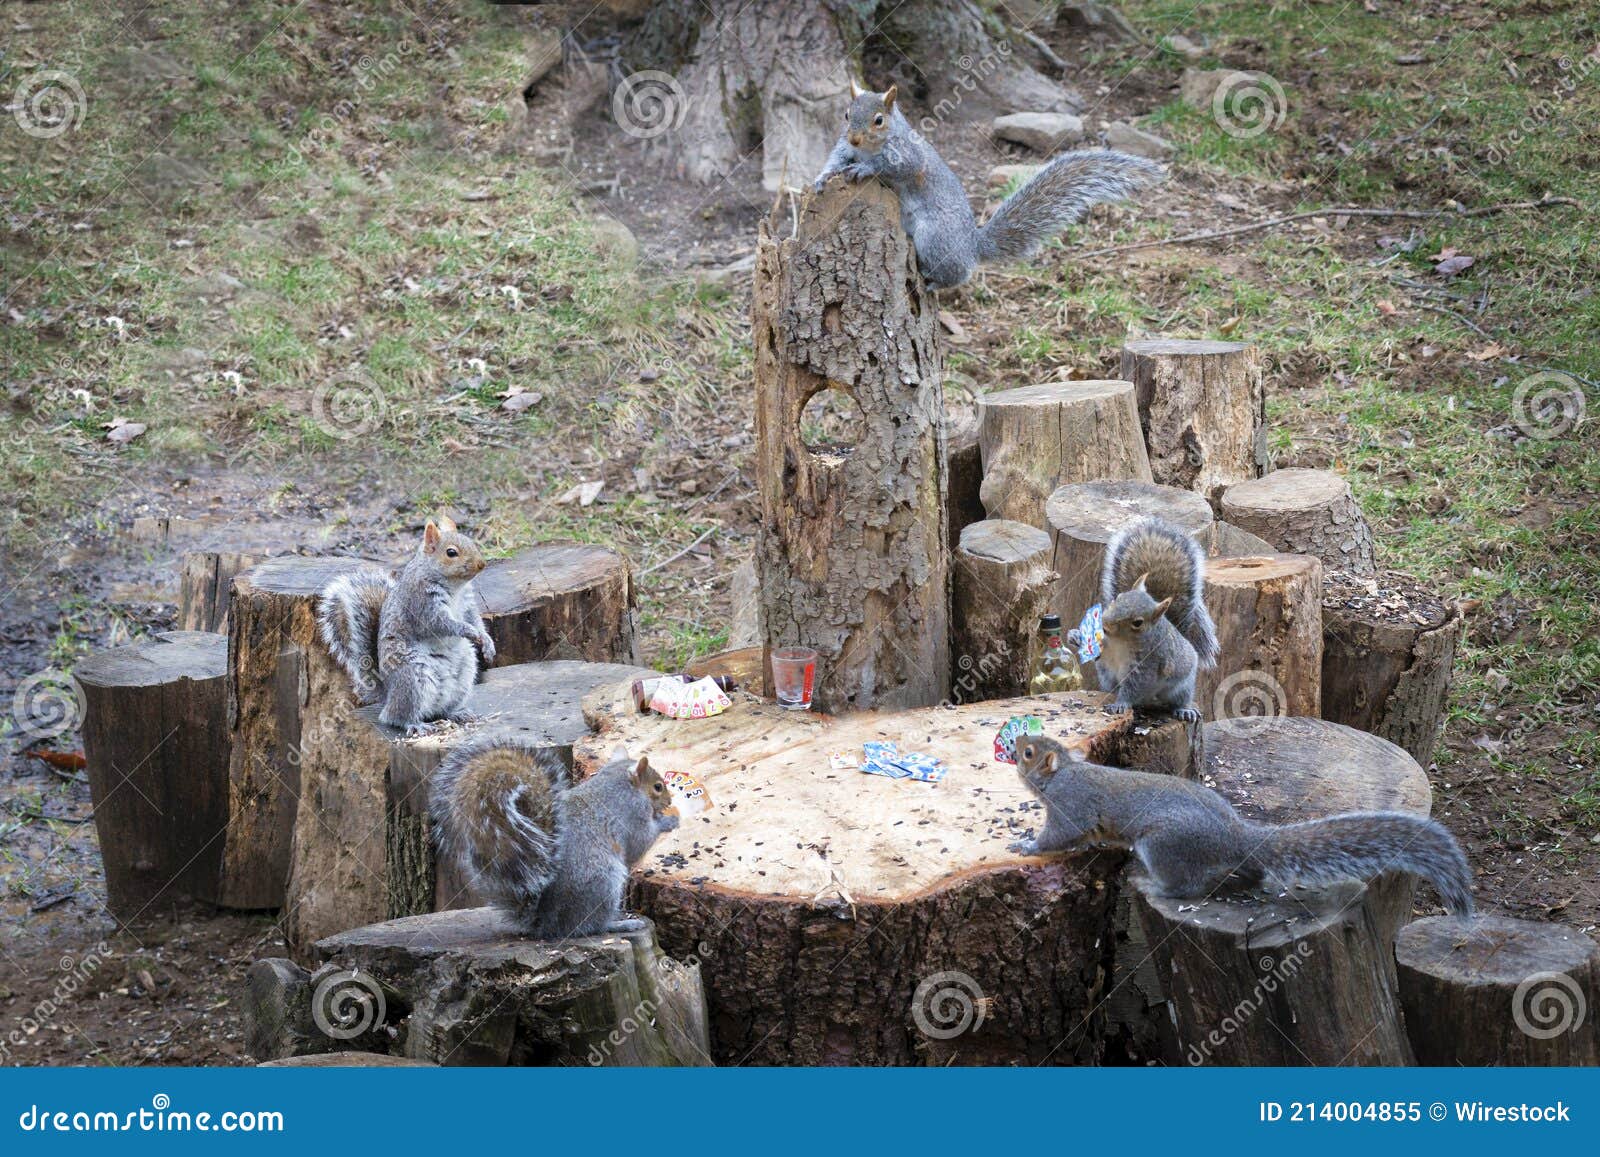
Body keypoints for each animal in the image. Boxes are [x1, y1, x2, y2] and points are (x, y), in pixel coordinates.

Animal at [317, 517, 496, 737]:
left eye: (471, 541)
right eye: (451, 552)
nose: (482, 564)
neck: (455, 587)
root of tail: (387, 695)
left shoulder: (468, 604)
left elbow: (475, 620)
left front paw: (487, 642)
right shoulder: (422, 605)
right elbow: (442, 624)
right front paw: (468, 631)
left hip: (464, 674)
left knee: (442, 709)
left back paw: (457, 713)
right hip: (412, 678)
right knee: (396, 716)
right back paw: (415, 724)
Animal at [429, 739, 680, 939]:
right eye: (658, 787)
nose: (669, 801)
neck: (620, 783)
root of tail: (545, 924)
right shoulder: (631, 814)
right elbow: (639, 842)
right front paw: (668, 821)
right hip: (604, 881)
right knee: (589, 927)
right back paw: (620, 924)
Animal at [813, 82, 1163, 289]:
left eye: (879, 120)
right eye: (847, 115)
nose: (854, 138)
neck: (869, 147)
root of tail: (973, 245)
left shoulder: (909, 155)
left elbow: (898, 167)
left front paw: (865, 168)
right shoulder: (844, 149)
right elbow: (835, 160)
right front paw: (822, 178)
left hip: (935, 238)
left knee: (957, 274)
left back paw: (934, 282)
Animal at [1011, 735, 1475, 915]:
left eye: (1028, 752)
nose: (1012, 742)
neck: (1064, 773)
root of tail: (1235, 835)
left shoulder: (1070, 805)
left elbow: (1060, 835)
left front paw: (1026, 847)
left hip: (1163, 845)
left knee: (1186, 885)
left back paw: (1153, 886)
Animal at [1088, 517, 1220, 721]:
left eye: (1137, 623)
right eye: (1118, 598)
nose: (1105, 624)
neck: (1120, 643)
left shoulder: (1148, 664)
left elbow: (1134, 687)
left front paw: (1120, 704)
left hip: (1181, 686)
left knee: (1179, 698)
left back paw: (1185, 709)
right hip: (1107, 676)